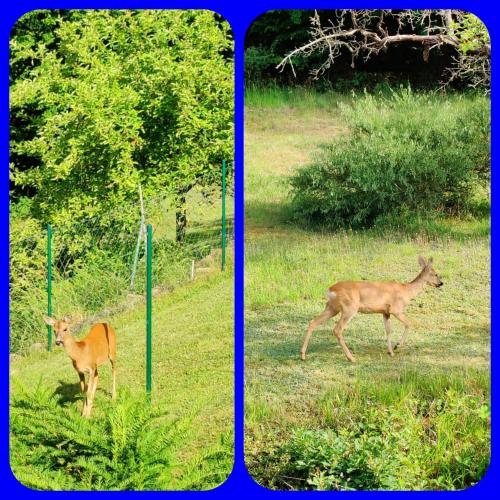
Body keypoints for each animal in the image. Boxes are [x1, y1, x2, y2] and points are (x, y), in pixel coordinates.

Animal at [298, 258, 444, 364]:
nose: (441, 283)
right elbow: (409, 323)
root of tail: (330, 290)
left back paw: (303, 355)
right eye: (435, 274)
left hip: (332, 308)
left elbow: (388, 331)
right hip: (349, 308)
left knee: (313, 322)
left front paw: (390, 352)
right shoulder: (396, 309)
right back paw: (351, 358)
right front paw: (397, 346)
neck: (406, 291)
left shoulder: (385, 312)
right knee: (337, 329)